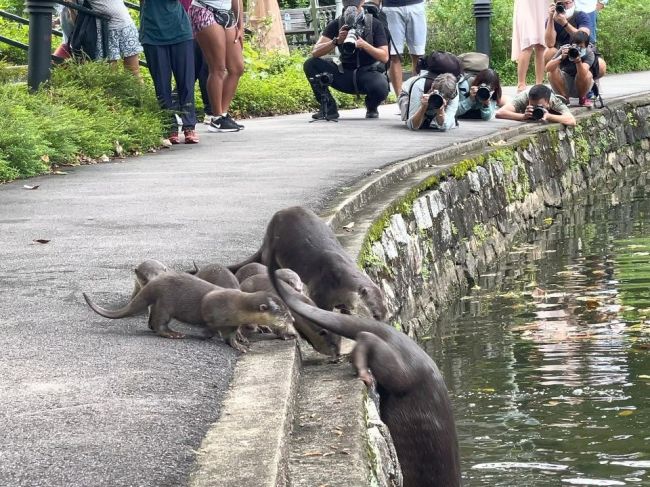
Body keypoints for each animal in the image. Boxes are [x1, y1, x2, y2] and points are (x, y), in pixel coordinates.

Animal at [83, 272, 294, 352]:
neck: (237, 306)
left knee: (152, 322)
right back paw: (174, 334)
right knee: (159, 323)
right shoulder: (213, 311)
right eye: (283, 313)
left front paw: (240, 342)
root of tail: (153, 283)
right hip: (166, 303)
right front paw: (208, 335)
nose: (292, 319)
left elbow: (231, 335)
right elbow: (213, 328)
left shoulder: (233, 323)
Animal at [229, 206, 384, 320]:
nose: (382, 323)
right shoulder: (320, 290)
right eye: (375, 314)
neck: (340, 281)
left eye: (386, 314)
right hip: (271, 251)